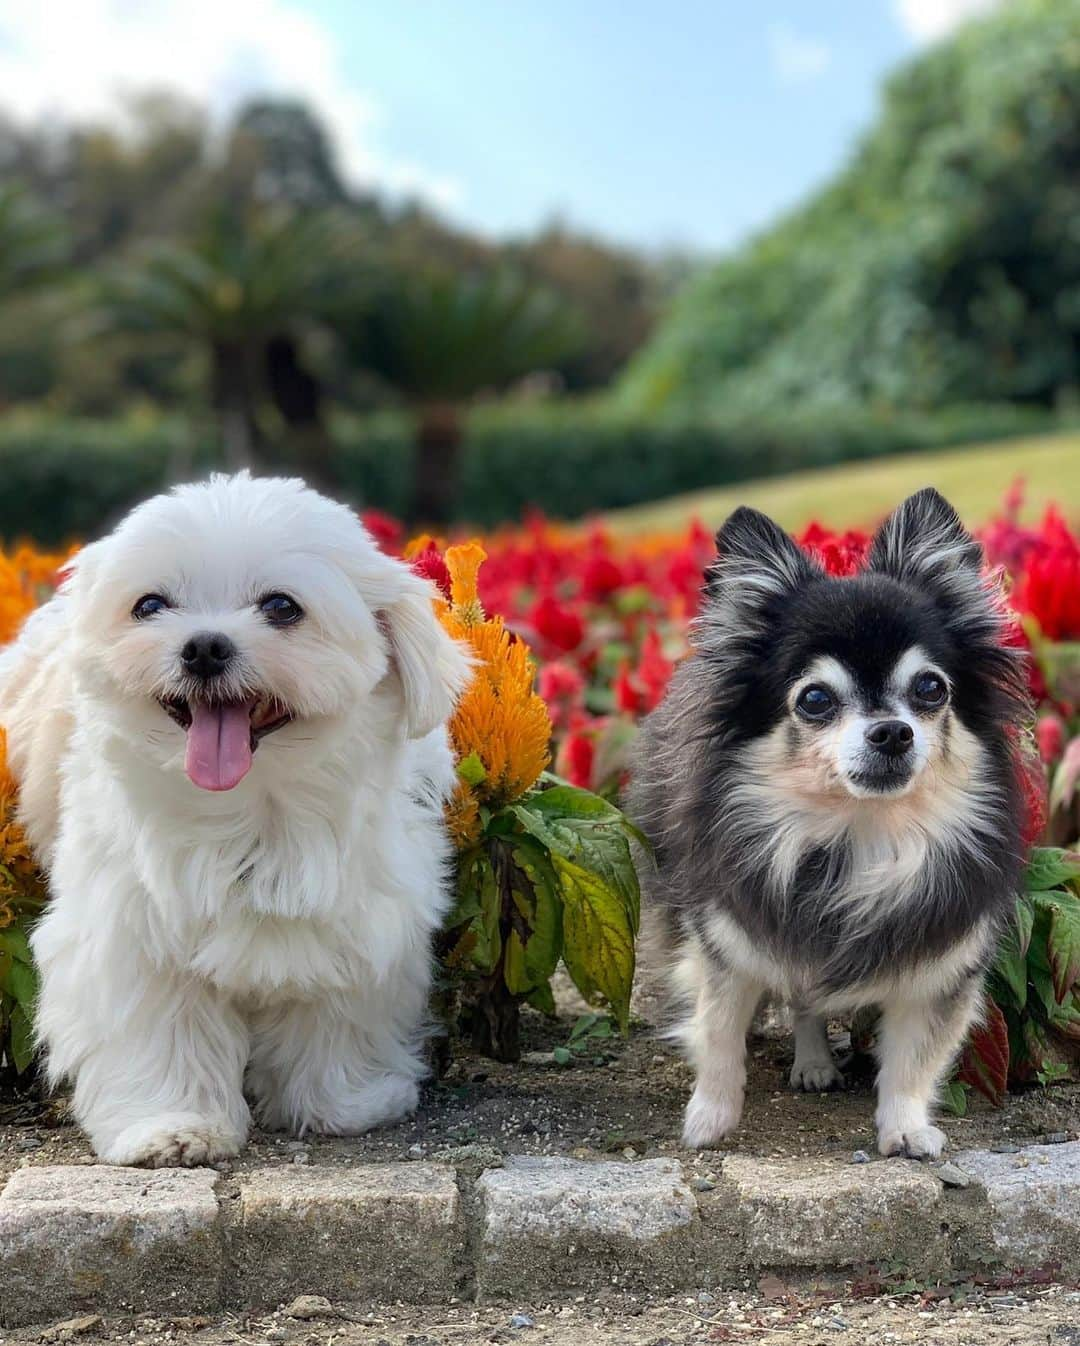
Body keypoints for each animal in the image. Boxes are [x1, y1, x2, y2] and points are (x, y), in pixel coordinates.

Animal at [2, 473, 468, 1168]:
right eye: (149, 605)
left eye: (282, 607)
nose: (204, 646)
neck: (249, 812)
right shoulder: (131, 931)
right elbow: (160, 1026)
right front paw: (171, 1124)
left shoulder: (362, 916)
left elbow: (337, 1009)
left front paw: (344, 1101)